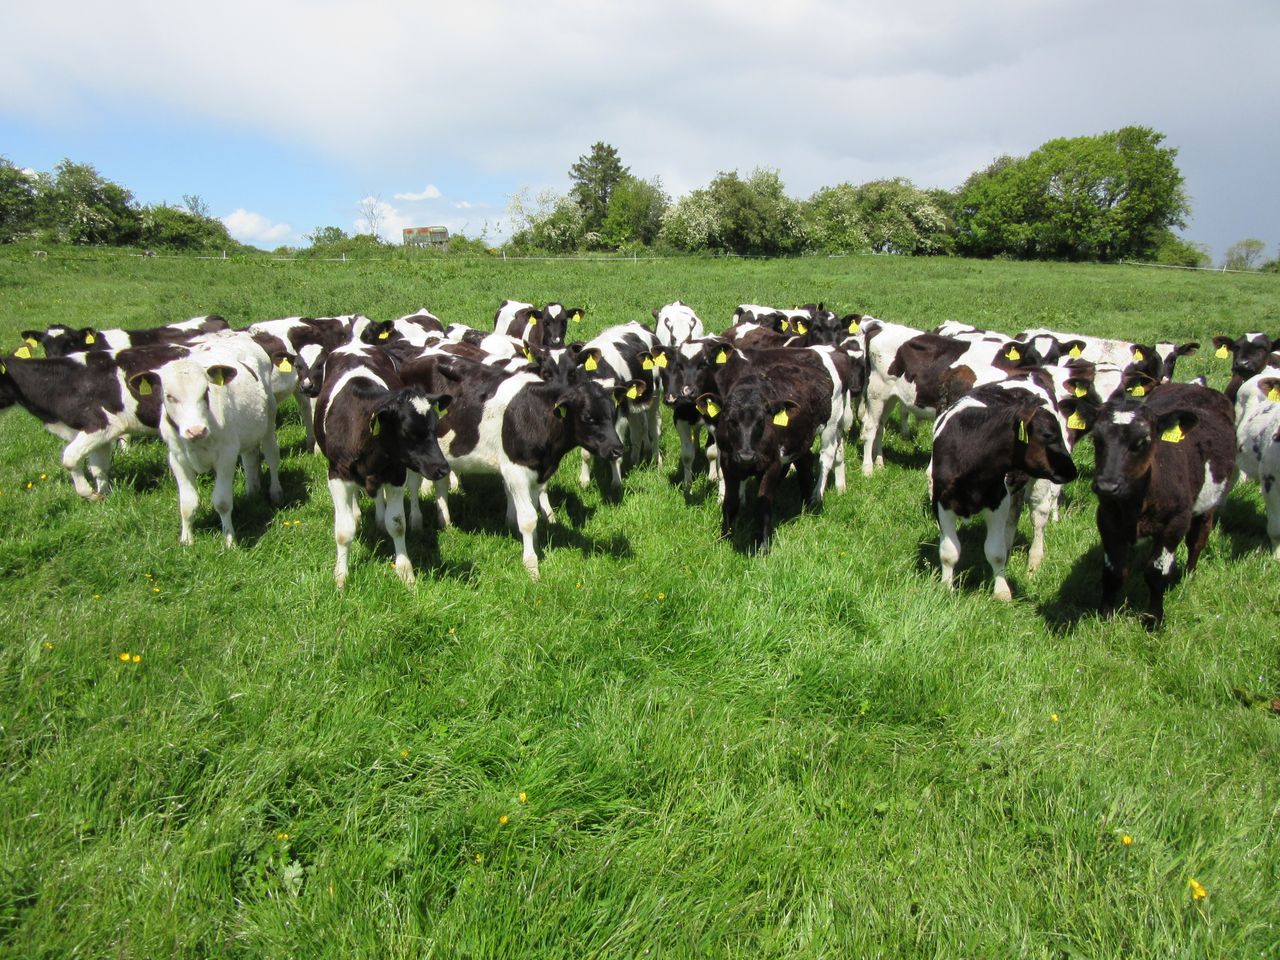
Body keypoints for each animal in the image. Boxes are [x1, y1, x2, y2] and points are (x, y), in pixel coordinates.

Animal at [126, 339, 282, 547]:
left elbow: (222, 502)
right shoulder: (177, 458)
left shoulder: (226, 455)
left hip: (269, 420)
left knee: (272, 455)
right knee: (250, 458)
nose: (196, 430)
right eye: (169, 396)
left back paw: (275, 492)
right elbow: (187, 503)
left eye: (206, 391)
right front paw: (186, 540)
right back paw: (252, 493)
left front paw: (229, 540)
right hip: (248, 430)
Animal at [312, 341, 453, 589]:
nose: (442, 468)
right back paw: (357, 515)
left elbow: (397, 524)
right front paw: (341, 576)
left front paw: (405, 572)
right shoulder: (337, 474)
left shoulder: (396, 473)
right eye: (408, 431)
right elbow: (343, 531)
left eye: (435, 427)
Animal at [930, 378, 1078, 600]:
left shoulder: (997, 500)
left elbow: (995, 551)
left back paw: (1033, 565)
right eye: (1048, 434)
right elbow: (949, 551)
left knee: (1038, 518)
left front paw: (1002, 592)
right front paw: (947, 587)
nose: (1072, 470)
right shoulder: (942, 501)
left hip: (1038, 484)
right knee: (1013, 516)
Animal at [1089, 383, 1236, 628]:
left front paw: (1154, 619)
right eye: (1097, 439)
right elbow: (1113, 571)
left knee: (1197, 540)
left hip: (1208, 504)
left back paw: (1189, 575)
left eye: (1143, 442)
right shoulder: (1107, 517)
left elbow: (1157, 572)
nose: (1106, 486)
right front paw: (1105, 616)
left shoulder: (1175, 521)